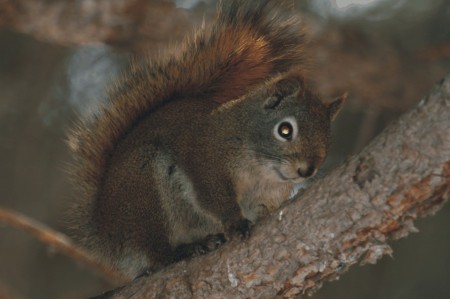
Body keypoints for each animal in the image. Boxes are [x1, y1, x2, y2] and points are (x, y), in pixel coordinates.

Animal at [67, 0, 344, 282]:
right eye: (285, 130)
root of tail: (105, 229)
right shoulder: (205, 161)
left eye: (328, 140)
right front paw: (236, 223)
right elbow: (214, 198)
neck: (260, 170)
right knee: (156, 253)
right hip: (143, 194)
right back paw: (186, 249)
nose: (307, 170)